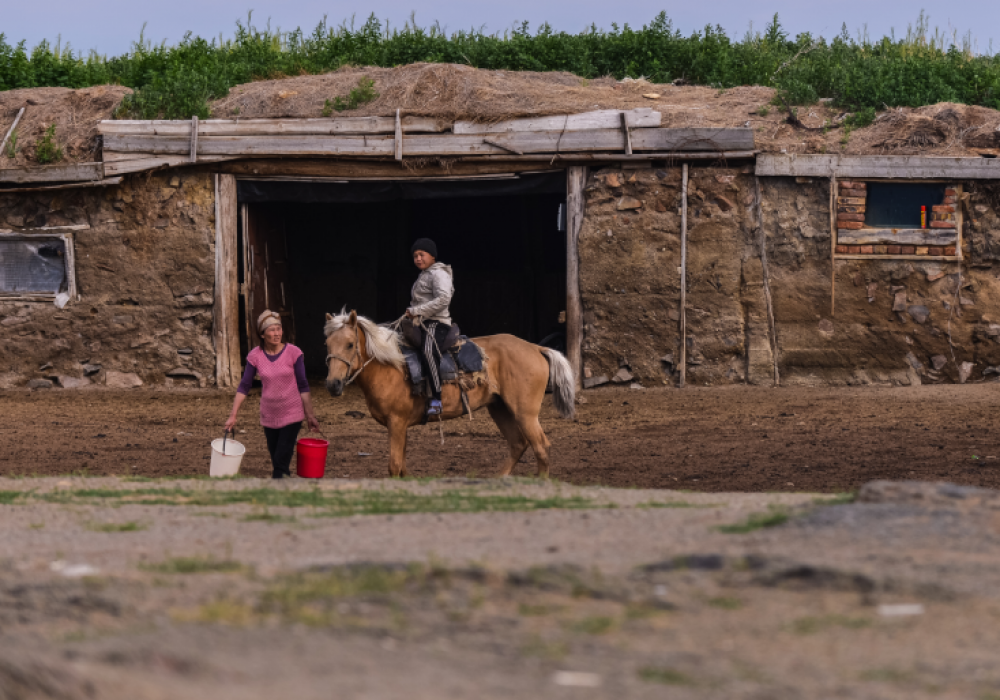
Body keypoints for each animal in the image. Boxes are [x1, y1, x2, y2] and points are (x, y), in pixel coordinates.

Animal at [324, 310, 576, 478]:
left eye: (349, 344)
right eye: (328, 344)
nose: (333, 384)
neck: (390, 365)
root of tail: (536, 348)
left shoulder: (396, 423)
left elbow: (394, 466)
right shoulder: (400, 426)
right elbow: (402, 466)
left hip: (525, 413)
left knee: (540, 446)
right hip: (500, 408)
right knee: (518, 443)